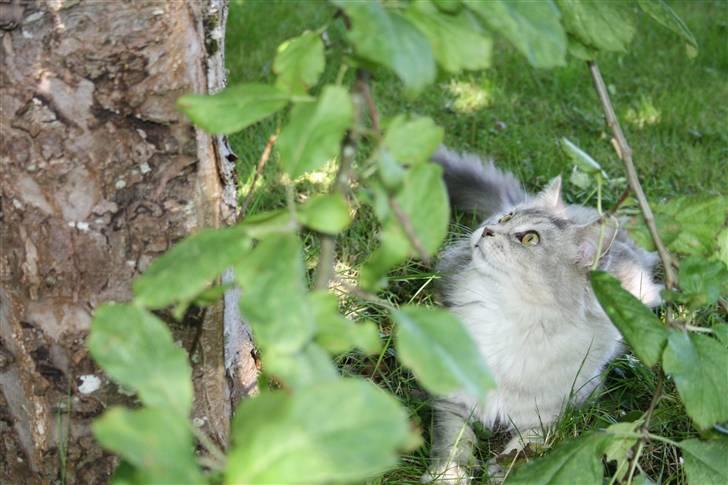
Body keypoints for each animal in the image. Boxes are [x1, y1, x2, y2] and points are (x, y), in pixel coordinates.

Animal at [424, 148, 664, 484]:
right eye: (507, 218)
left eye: (529, 239)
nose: (488, 229)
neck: (508, 316)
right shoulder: (451, 394)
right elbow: (454, 440)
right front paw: (449, 474)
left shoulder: (562, 407)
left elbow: (531, 442)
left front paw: (505, 468)